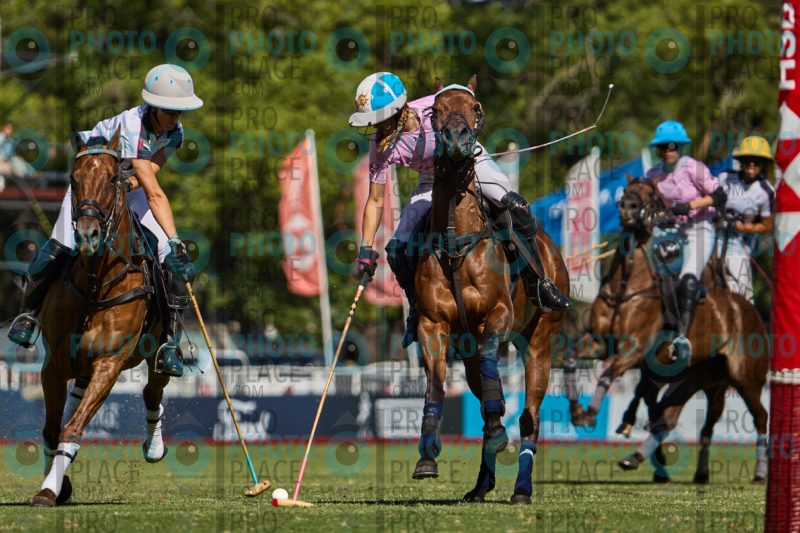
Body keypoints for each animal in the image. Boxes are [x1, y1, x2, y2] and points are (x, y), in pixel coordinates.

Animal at [29, 129, 172, 506]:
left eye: (111, 178)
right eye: (72, 179)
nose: (87, 235)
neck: (95, 283)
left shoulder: (109, 363)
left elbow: (72, 428)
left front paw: (49, 490)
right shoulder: (54, 363)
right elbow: (52, 430)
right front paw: (56, 485)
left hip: (155, 353)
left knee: (153, 389)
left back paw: (154, 448)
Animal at [412, 76, 570, 504]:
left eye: (476, 107)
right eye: (435, 109)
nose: (456, 138)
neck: (456, 240)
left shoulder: (497, 316)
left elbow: (491, 372)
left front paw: (501, 431)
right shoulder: (432, 325)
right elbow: (436, 386)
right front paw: (427, 454)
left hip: (540, 342)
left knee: (530, 419)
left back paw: (522, 490)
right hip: (467, 352)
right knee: (484, 398)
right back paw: (481, 484)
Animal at [564, 176, 768, 482]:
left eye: (650, 195)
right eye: (625, 191)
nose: (627, 208)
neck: (628, 284)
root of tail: (748, 307)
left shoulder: (634, 349)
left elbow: (609, 373)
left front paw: (590, 412)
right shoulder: (600, 341)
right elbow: (571, 358)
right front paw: (577, 410)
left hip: (744, 377)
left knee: (760, 417)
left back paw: (759, 472)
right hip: (696, 376)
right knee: (668, 415)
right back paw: (653, 462)